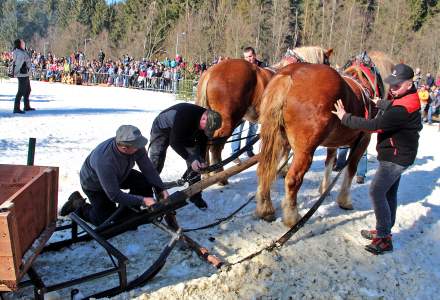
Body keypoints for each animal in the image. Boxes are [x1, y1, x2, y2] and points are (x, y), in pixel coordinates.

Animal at [196, 46, 334, 183]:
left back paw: (206, 174)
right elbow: (286, 148)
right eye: (327, 62)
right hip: (227, 121)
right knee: (215, 147)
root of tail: (211, 71)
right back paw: (220, 177)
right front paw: (282, 169)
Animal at [256, 51, 394, 227]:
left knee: (266, 169)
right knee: (293, 179)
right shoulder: (363, 141)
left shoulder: (333, 142)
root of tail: (289, 74)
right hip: (304, 150)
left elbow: (329, 161)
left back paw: (266, 208)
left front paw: (324, 189)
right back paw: (292, 217)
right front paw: (344, 200)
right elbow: (351, 168)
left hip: (277, 139)